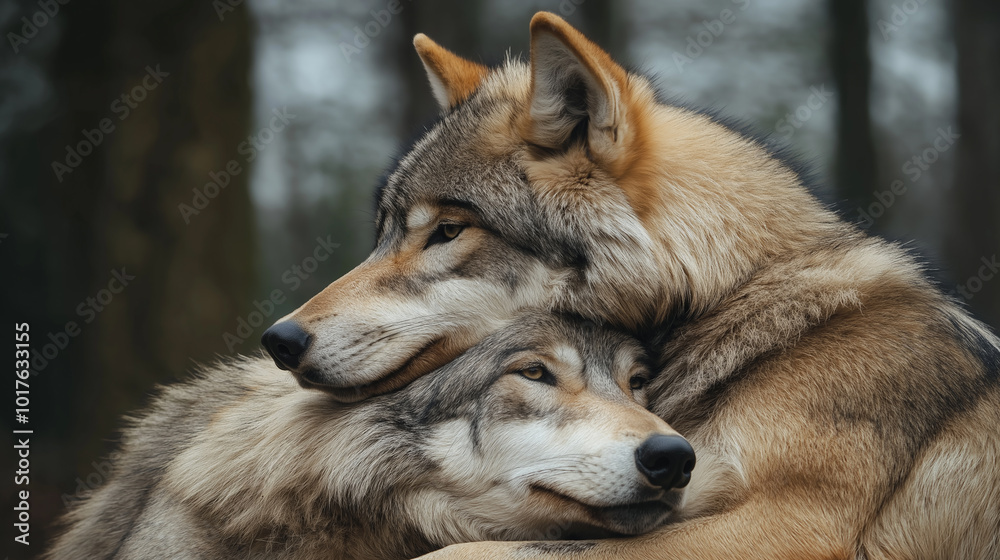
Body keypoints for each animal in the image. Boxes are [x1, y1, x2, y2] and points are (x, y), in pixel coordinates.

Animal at [259, 11, 1000, 560]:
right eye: (385, 232)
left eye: (446, 230)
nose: (279, 340)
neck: (735, 308)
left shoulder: (779, 526)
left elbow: (467, 551)